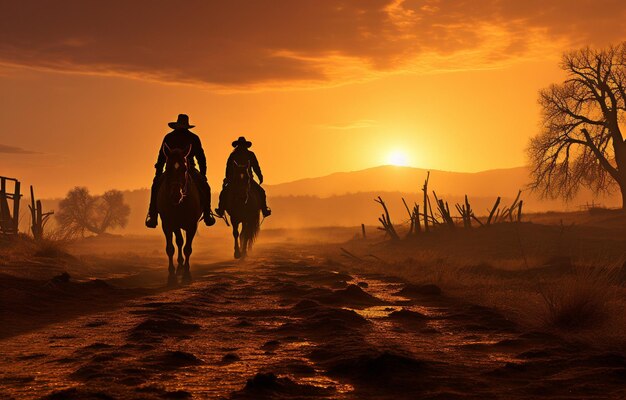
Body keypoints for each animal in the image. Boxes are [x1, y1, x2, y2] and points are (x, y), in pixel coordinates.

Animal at [157, 144, 201, 284]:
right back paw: (179, 266)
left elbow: (188, 249)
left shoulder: (192, 226)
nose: (176, 195)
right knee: (179, 241)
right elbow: (171, 248)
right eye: (167, 167)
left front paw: (187, 274)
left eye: (185, 168)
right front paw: (171, 276)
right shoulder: (168, 225)